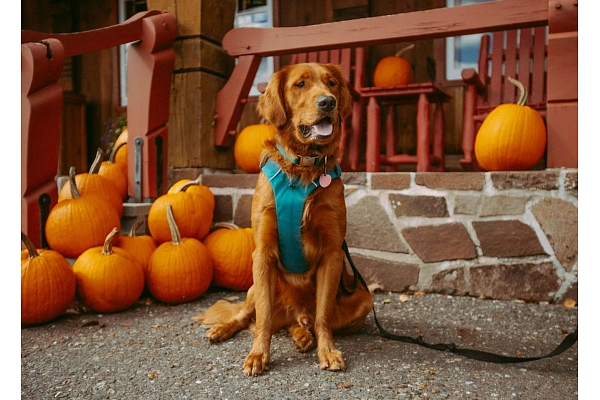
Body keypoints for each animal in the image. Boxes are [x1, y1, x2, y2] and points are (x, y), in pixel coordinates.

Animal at [197, 62, 372, 376]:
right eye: (300, 84)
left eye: (331, 83)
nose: (328, 102)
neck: (302, 166)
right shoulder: (262, 253)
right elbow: (263, 318)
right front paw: (257, 355)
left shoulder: (333, 254)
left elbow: (323, 316)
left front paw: (327, 351)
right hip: (253, 285)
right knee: (247, 315)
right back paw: (223, 329)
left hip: (364, 298)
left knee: (303, 321)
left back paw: (303, 334)